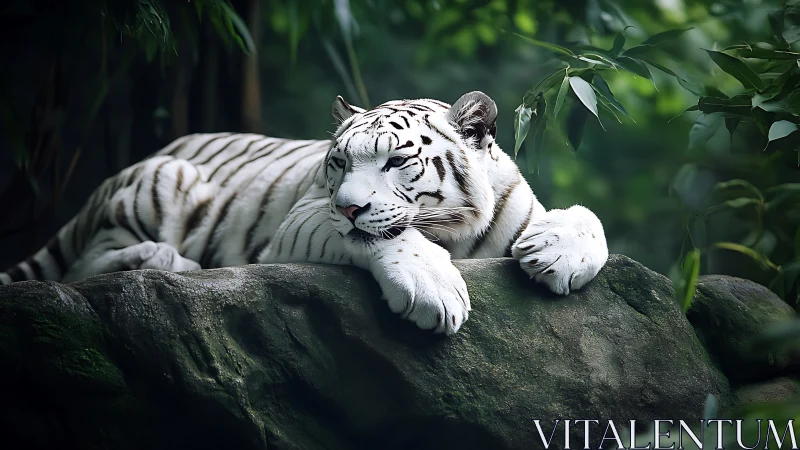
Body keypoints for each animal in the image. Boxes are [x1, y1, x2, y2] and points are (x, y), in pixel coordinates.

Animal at [0, 91, 608, 334]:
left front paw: (557, 253)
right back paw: (165, 260)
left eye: (396, 161)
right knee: (84, 264)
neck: (456, 234)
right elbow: (386, 237)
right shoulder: (303, 220)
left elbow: (591, 219)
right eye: (338, 162)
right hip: (165, 181)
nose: (348, 205)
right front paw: (433, 290)